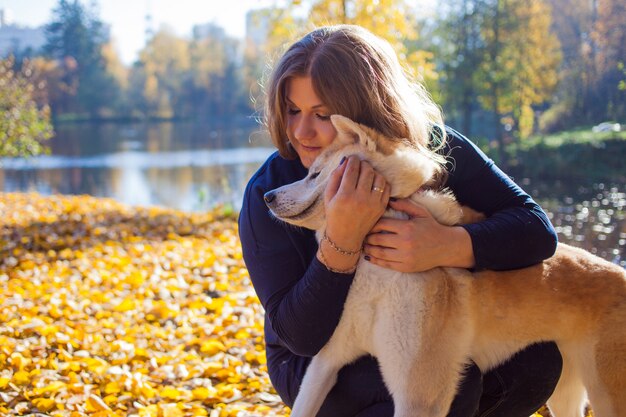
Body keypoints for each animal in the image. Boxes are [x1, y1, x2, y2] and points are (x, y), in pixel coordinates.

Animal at [262, 114, 624, 416]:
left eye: (315, 174)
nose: (267, 196)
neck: (375, 273)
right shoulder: (326, 363)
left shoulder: (419, 395)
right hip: (565, 392)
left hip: (605, 395)